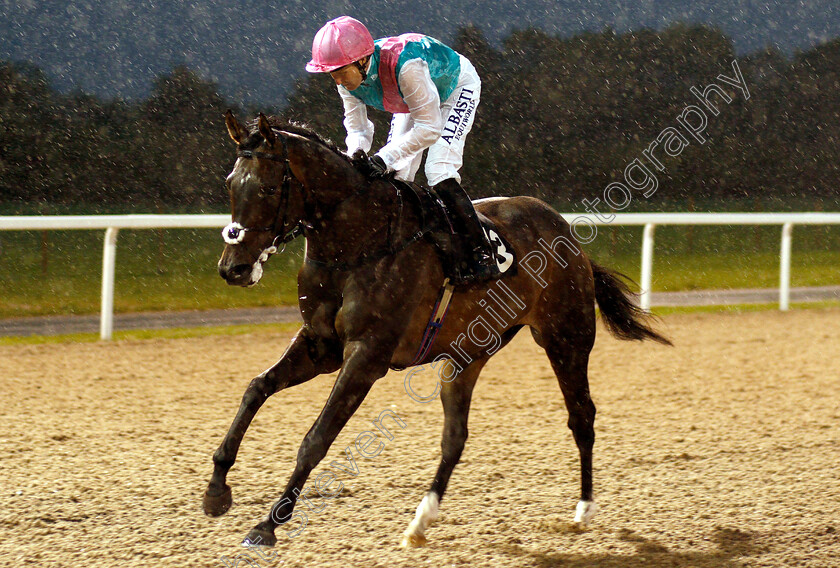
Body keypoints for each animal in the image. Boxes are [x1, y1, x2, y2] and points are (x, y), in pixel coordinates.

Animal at [207, 108, 672, 548]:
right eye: (230, 184)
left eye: (268, 189)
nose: (233, 269)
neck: (357, 242)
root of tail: (567, 233)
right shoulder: (322, 345)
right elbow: (256, 388)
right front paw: (216, 489)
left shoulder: (367, 355)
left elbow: (316, 437)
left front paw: (267, 525)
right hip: (467, 354)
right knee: (455, 437)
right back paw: (420, 521)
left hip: (565, 337)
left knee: (581, 416)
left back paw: (583, 509)